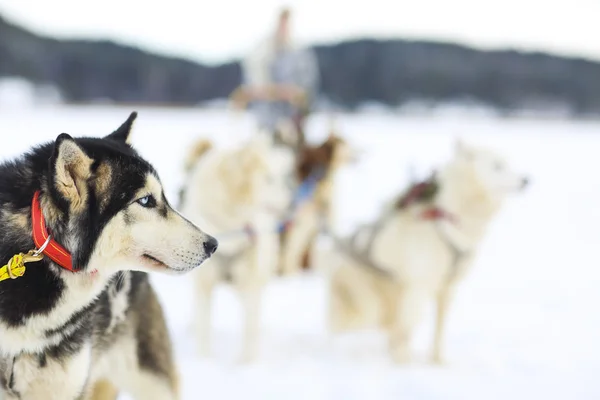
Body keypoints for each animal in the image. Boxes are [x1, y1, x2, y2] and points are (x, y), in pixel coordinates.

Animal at [178, 134, 292, 362]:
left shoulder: (250, 283)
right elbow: (204, 326)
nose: (291, 203)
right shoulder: (205, 284)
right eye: (269, 179)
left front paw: (246, 363)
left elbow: (250, 328)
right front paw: (204, 359)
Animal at [322, 139, 528, 364]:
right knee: (350, 325)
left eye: (510, 163)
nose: (526, 180)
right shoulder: (419, 286)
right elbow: (407, 328)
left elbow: (438, 330)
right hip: (368, 303)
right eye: (497, 166)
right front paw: (403, 361)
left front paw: (437, 361)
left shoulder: (447, 288)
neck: (446, 220)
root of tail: (334, 251)